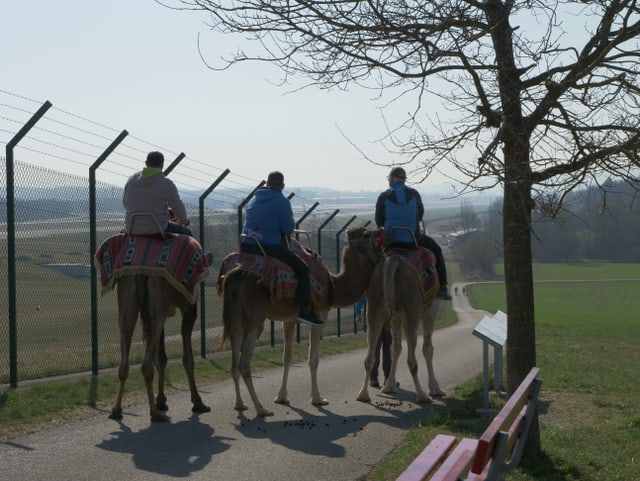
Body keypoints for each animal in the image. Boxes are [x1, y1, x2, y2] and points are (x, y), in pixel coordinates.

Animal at [218, 226, 382, 416]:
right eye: (367, 234)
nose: (381, 245)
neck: (334, 284)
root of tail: (232, 276)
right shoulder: (321, 315)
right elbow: (313, 359)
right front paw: (318, 398)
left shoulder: (289, 320)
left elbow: (287, 357)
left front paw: (282, 396)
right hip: (254, 318)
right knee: (244, 364)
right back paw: (261, 408)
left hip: (234, 317)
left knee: (234, 362)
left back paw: (239, 404)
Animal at [356, 246, 444, 404]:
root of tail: (393, 261)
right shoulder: (432, 308)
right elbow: (427, 348)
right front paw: (435, 389)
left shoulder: (396, 315)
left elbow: (395, 348)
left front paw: (389, 386)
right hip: (412, 310)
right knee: (412, 360)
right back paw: (422, 396)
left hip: (375, 307)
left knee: (369, 357)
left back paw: (363, 395)